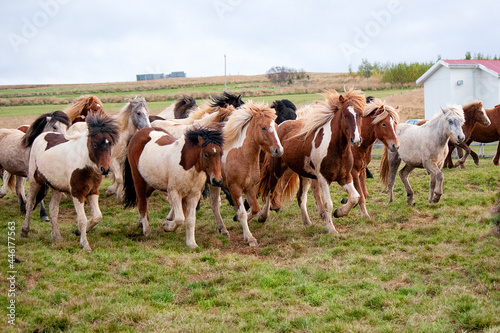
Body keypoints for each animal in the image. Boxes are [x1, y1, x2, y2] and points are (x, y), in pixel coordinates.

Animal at [21, 115, 120, 250]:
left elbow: (97, 216)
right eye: (95, 144)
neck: (84, 164)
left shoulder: (93, 192)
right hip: (34, 181)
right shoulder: (77, 193)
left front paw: (79, 232)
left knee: (53, 209)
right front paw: (85, 244)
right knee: (30, 203)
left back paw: (56, 236)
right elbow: (82, 219)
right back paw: (25, 230)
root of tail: (42, 135)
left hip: (56, 187)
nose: (105, 169)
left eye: (109, 144)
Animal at [208, 100, 286, 245]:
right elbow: (242, 213)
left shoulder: (250, 187)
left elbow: (255, 209)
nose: (279, 150)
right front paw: (250, 238)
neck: (242, 156)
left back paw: (223, 230)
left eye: (276, 126)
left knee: (214, 205)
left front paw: (241, 224)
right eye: (263, 128)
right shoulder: (235, 189)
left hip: (214, 184)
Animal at [258, 88, 364, 233]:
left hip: (302, 174)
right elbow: (328, 204)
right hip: (277, 170)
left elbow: (354, 197)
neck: (336, 149)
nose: (356, 140)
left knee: (301, 197)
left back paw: (307, 222)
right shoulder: (324, 179)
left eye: (360, 115)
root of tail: (280, 126)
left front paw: (339, 212)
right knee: (270, 190)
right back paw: (262, 216)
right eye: (345, 115)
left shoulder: (344, 177)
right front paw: (331, 229)